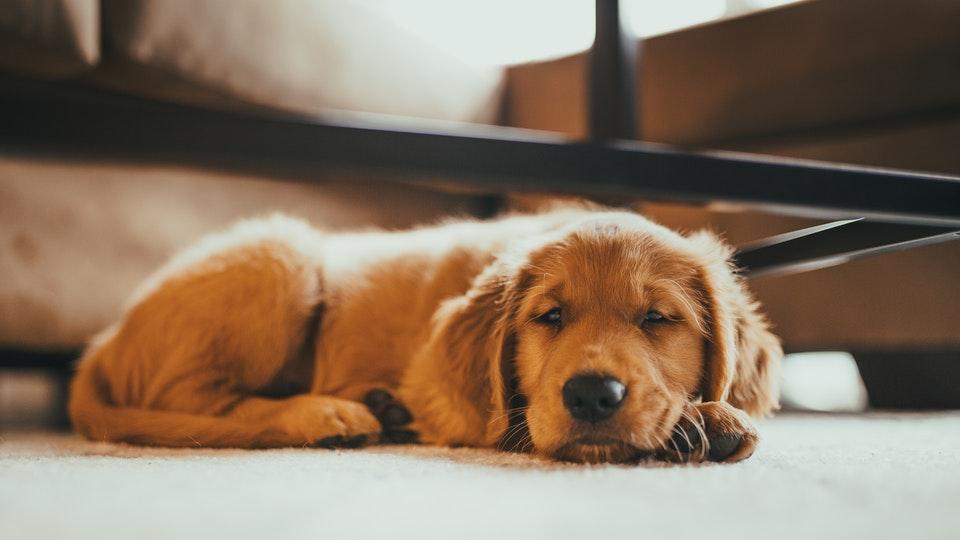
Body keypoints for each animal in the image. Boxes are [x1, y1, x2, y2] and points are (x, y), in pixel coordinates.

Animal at [73, 208, 780, 464]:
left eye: (657, 319)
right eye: (549, 317)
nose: (591, 396)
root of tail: (102, 342)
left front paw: (712, 415)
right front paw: (703, 420)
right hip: (281, 254)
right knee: (195, 404)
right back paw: (330, 414)